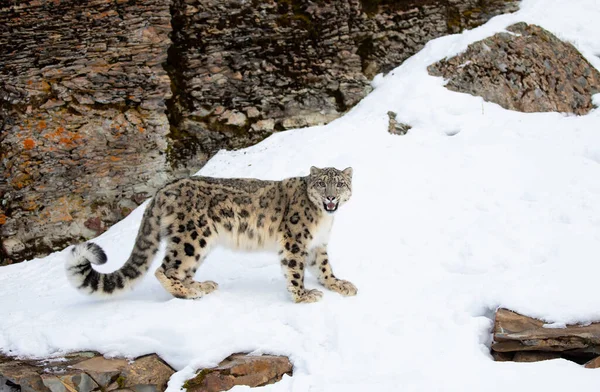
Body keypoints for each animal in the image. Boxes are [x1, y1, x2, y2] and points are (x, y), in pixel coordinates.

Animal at [65, 165, 356, 304]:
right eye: (322, 183)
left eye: (340, 184)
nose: (330, 197)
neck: (323, 219)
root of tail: (162, 191)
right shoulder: (295, 239)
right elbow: (295, 269)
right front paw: (303, 296)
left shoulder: (317, 245)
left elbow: (324, 267)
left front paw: (340, 284)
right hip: (193, 236)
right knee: (165, 269)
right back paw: (189, 292)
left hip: (197, 244)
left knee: (182, 269)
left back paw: (200, 286)